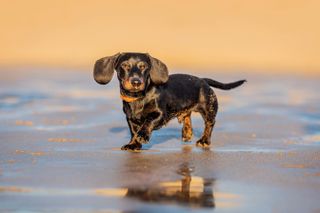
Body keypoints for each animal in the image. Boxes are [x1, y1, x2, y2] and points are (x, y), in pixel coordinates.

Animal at [92, 52, 245, 151]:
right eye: (124, 66)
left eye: (143, 66)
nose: (136, 82)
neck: (139, 98)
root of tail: (203, 80)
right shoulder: (130, 118)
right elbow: (133, 131)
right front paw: (133, 144)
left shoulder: (160, 114)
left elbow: (148, 122)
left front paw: (142, 136)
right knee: (187, 116)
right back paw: (187, 133)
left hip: (209, 108)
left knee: (210, 124)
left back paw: (204, 141)